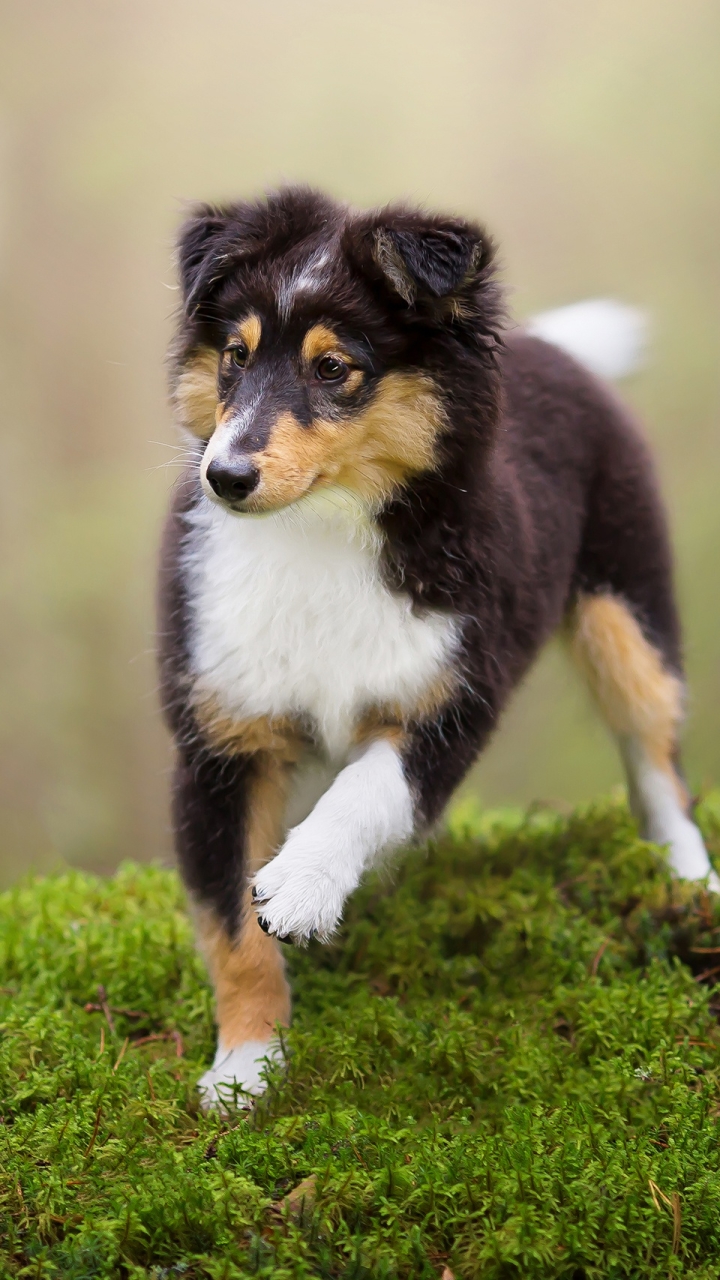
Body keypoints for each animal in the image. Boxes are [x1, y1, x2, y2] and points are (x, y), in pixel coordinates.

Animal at [156, 185, 712, 1105]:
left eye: (333, 368)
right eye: (234, 356)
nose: (225, 478)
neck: (321, 531)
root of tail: (553, 349)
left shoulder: (454, 697)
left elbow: (365, 789)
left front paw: (305, 883)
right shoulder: (219, 738)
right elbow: (232, 930)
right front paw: (246, 1067)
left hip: (626, 606)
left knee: (656, 756)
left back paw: (692, 880)